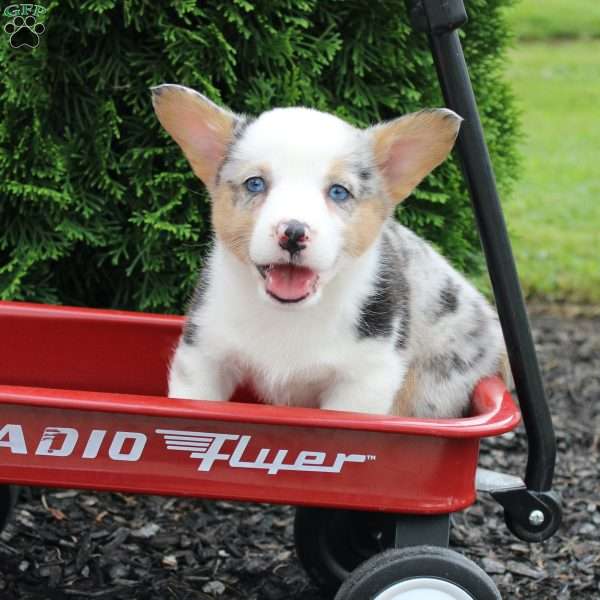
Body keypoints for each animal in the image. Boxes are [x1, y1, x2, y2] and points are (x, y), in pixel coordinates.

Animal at [151, 84, 506, 418]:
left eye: (338, 191)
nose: (293, 233)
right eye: (255, 183)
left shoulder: (365, 379)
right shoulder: (204, 356)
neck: (288, 317)